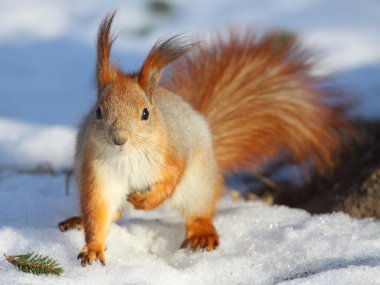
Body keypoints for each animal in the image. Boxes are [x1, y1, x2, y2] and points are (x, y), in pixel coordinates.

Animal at [58, 12, 354, 266]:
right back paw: (78, 220)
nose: (119, 139)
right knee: (113, 212)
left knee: (200, 211)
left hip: (199, 183)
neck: (127, 157)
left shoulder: (175, 151)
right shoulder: (97, 173)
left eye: (145, 113)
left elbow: (172, 178)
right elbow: (98, 211)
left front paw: (147, 202)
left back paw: (202, 232)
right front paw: (93, 247)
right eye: (98, 111)